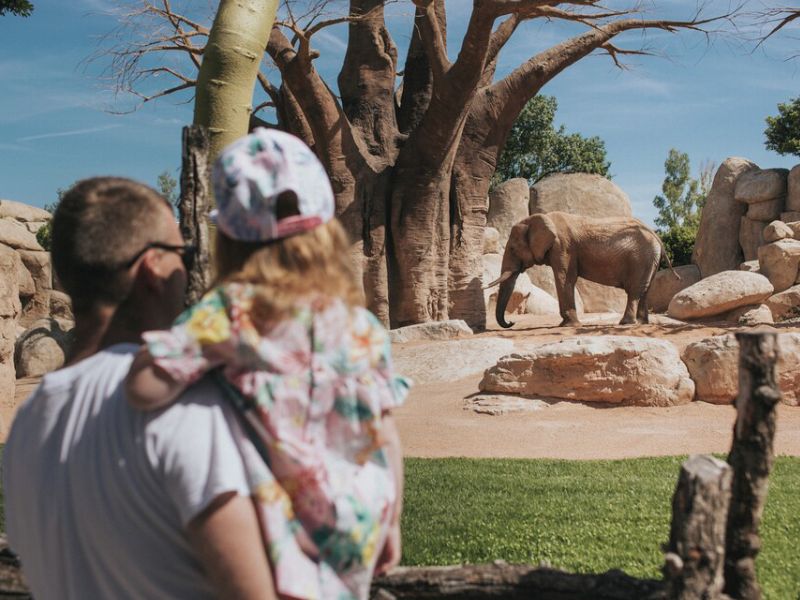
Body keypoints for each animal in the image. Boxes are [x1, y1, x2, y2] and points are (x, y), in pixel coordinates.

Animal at [488, 212, 676, 328]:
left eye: (513, 249)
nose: (511, 323)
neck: (540, 218)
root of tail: (656, 236)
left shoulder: (563, 247)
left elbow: (565, 278)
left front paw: (567, 325)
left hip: (641, 259)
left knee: (635, 290)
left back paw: (626, 323)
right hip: (650, 260)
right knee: (644, 290)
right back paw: (642, 323)